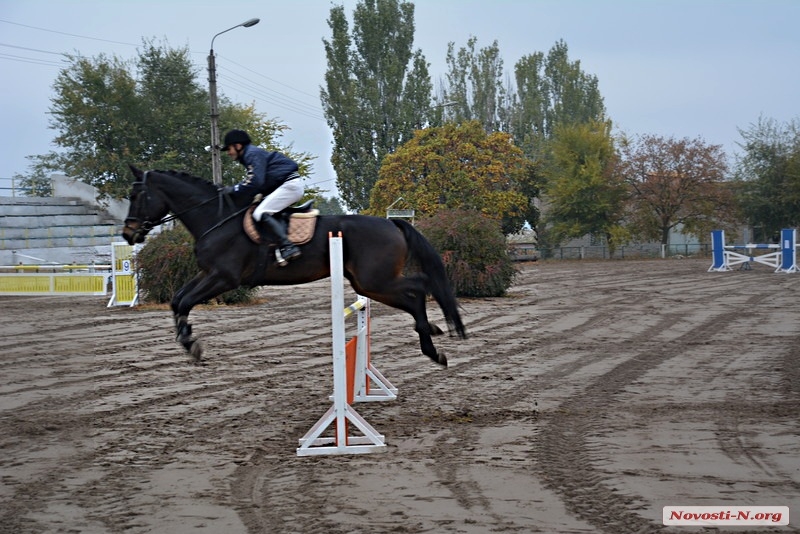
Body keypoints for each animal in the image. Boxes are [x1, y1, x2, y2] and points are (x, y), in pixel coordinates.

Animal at [122, 166, 466, 368]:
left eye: (136, 195)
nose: (128, 234)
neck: (215, 219)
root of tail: (392, 222)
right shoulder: (208, 274)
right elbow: (178, 299)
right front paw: (188, 340)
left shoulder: (223, 278)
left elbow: (185, 301)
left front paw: (191, 345)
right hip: (368, 284)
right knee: (414, 293)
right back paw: (433, 336)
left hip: (375, 281)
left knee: (420, 286)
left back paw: (433, 341)